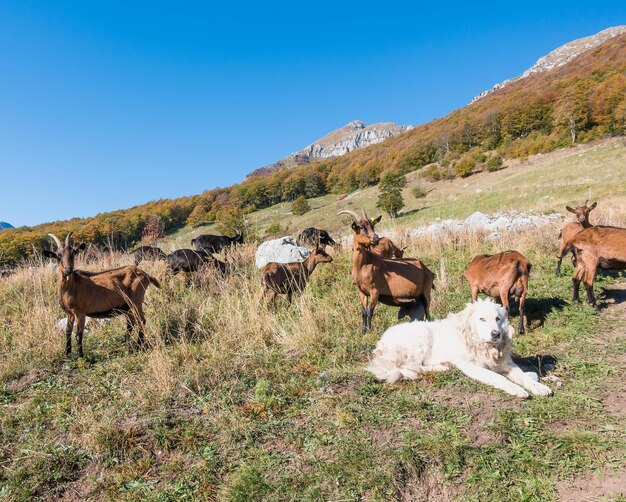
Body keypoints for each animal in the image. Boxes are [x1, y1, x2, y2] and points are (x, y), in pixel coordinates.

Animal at [366, 298, 552, 400]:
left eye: (498, 319)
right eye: (482, 319)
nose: (496, 334)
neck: (482, 346)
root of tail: (381, 343)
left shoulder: (507, 364)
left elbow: (523, 376)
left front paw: (539, 387)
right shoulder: (473, 367)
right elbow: (498, 377)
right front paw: (516, 389)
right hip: (422, 336)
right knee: (411, 366)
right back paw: (442, 367)